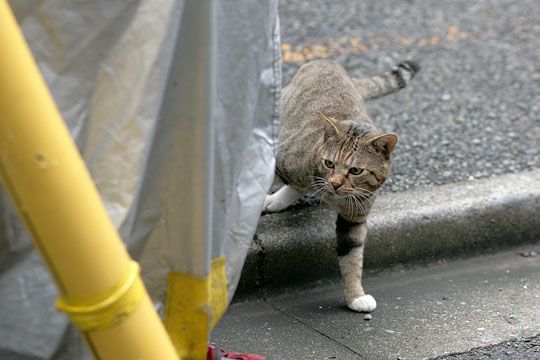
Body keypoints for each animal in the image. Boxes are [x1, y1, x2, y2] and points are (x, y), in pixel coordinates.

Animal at [264, 59, 420, 312]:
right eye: (329, 163)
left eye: (355, 170)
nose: (335, 183)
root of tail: (328, 62)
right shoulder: (283, 158)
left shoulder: (354, 217)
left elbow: (352, 257)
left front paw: (356, 296)